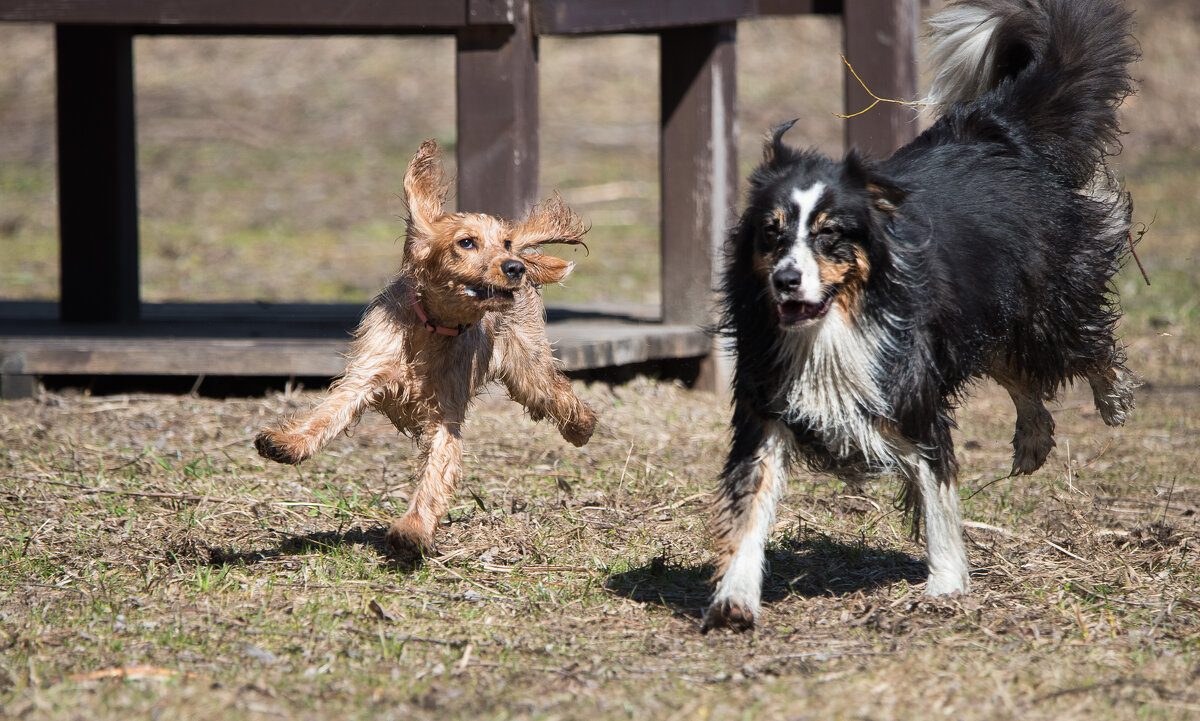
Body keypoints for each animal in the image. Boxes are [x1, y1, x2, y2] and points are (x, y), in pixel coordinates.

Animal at [261, 142, 600, 556]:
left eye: (503, 242)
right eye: (466, 242)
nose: (514, 267)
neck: (432, 329)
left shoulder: (446, 414)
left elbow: (436, 473)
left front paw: (413, 530)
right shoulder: (365, 376)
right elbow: (326, 416)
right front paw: (286, 443)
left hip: (527, 369)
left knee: (557, 394)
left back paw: (582, 428)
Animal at [705, 0, 1137, 628]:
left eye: (830, 235)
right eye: (771, 233)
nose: (785, 280)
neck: (833, 327)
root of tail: (996, 132)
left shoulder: (911, 390)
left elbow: (937, 489)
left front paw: (947, 584)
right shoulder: (770, 399)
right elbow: (752, 500)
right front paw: (735, 598)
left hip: (1037, 308)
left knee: (1080, 343)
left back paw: (1113, 395)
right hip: (974, 316)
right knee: (1013, 370)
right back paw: (1033, 438)